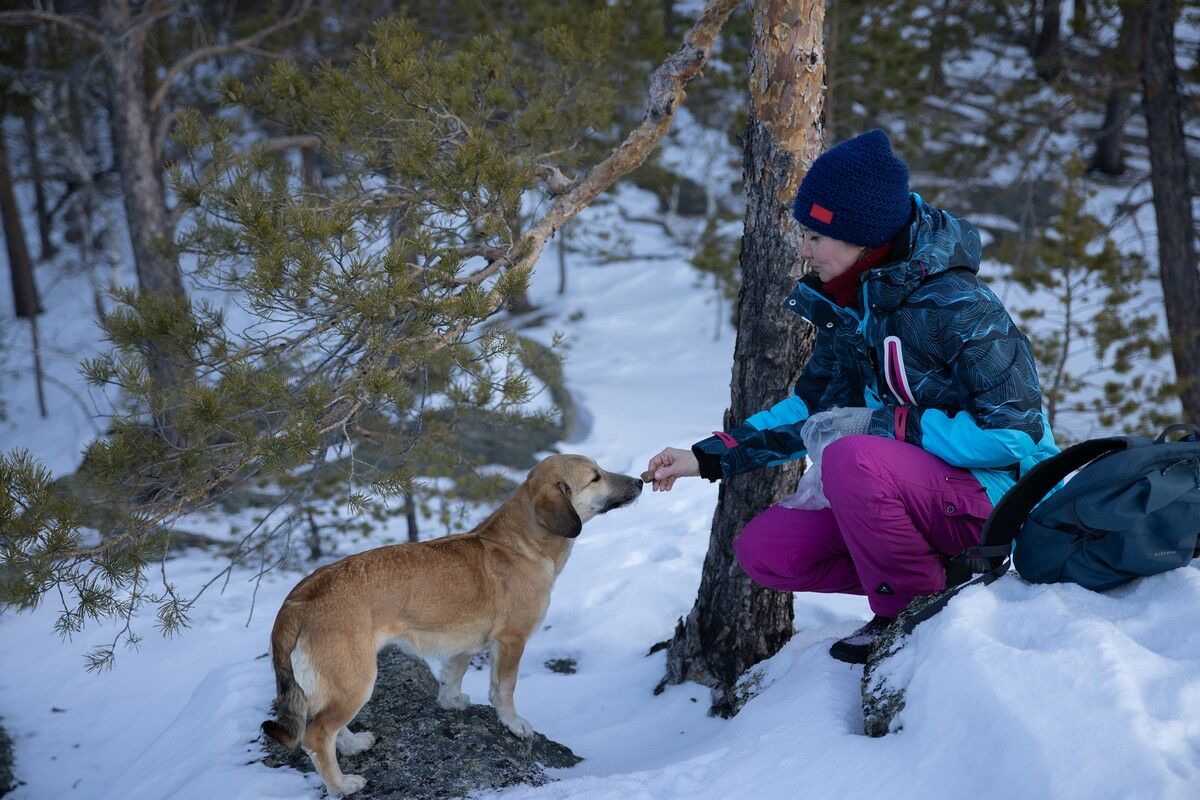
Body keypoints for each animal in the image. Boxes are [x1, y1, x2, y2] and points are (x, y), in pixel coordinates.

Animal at [259, 453, 643, 796]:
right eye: (595, 477)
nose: (640, 481)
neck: (521, 543)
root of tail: (296, 603)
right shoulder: (511, 641)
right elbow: (504, 691)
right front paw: (514, 725)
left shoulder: (462, 642)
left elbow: (452, 676)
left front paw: (452, 702)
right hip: (355, 679)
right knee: (316, 735)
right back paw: (342, 785)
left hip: (340, 683)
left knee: (324, 725)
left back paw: (353, 745)